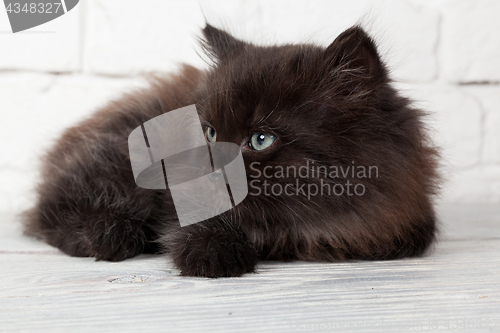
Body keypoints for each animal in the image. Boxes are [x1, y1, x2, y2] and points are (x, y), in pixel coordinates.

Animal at [21, 24, 440, 276]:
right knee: (50, 212)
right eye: (210, 132)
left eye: (260, 140)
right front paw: (212, 253)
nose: (212, 164)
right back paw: (111, 233)